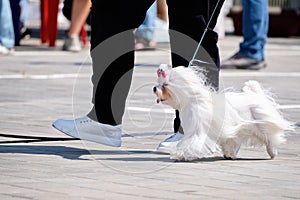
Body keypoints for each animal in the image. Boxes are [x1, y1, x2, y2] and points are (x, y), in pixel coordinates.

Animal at [154, 64, 294, 161]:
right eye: (158, 83)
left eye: (165, 85)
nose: (154, 88)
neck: (194, 99)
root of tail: (255, 95)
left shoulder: (198, 130)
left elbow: (192, 142)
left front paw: (181, 154)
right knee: (234, 141)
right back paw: (229, 154)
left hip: (260, 124)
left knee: (269, 138)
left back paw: (272, 152)